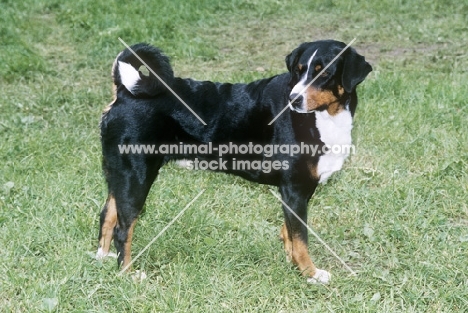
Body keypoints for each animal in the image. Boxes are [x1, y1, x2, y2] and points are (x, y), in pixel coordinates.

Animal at [97, 39, 372, 282]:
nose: (294, 99)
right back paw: (129, 274)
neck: (325, 118)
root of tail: (125, 92)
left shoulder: (297, 191)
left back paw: (102, 257)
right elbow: (301, 238)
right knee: (123, 229)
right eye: (298, 70)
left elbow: (290, 231)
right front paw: (310, 273)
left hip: (120, 175)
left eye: (324, 73)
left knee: (107, 215)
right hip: (136, 176)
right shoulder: (294, 188)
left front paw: (291, 262)